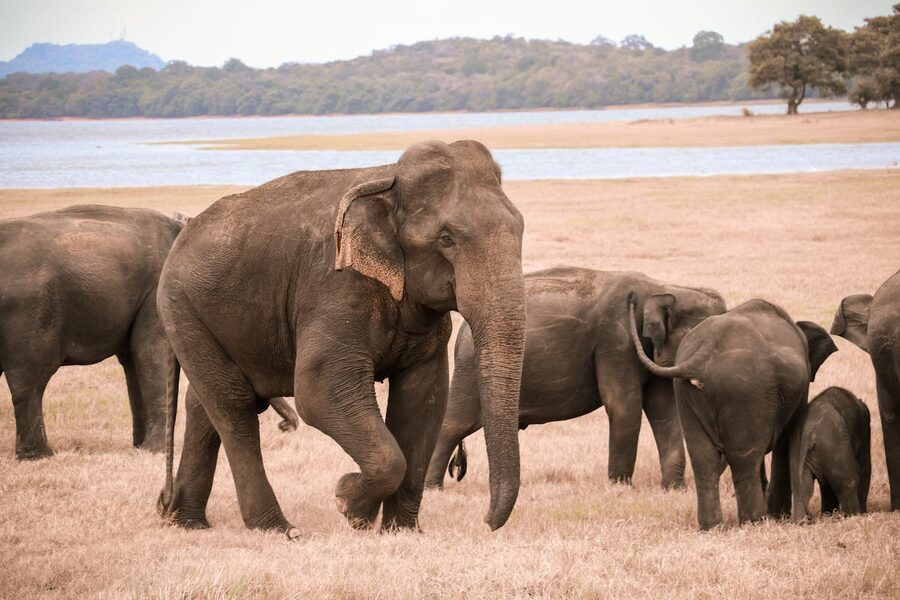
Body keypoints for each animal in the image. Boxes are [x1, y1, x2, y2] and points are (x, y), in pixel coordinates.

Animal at [0, 204, 182, 459]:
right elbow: (150, 353)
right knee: (29, 379)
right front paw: (154, 451)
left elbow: (133, 360)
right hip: (27, 312)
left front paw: (140, 448)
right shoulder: (157, 293)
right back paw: (40, 456)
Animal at [156, 140, 526, 538]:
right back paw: (279, 529)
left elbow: (423, 398)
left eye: (520, 229)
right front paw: (349, 504)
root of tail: (182, 233)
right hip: (182, 308)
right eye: (446, 239)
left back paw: (189, 523)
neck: (389, 178)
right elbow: (318, 393)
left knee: (203, 404)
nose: (485, 522)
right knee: (233, 406)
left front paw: (401, 531)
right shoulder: (335, 287)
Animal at [425, 267, 726, 490]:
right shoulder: (616, 339)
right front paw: (620, 488)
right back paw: (432, 488)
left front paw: (674, 489)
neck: (666, 287)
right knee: (454, 424)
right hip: (470, 371)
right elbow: (623, 406)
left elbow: (664, 410)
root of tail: (462, 332)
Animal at [629, 296, 837, 529]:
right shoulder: (798, 390)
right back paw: (754, 522)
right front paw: (780, 517)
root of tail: (705, 352)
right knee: (744, 457)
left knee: (702, 457)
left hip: (685, 392)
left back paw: (712, 527)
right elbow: (788, 440)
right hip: (745, 391)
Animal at [790, 387, 871, 522]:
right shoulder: (864, 434)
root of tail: (809, 431)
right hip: (833, 443)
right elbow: (864, 468)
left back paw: (802, 522)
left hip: (797, 447)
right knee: (850, 481)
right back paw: (853, 517)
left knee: (800, 488)